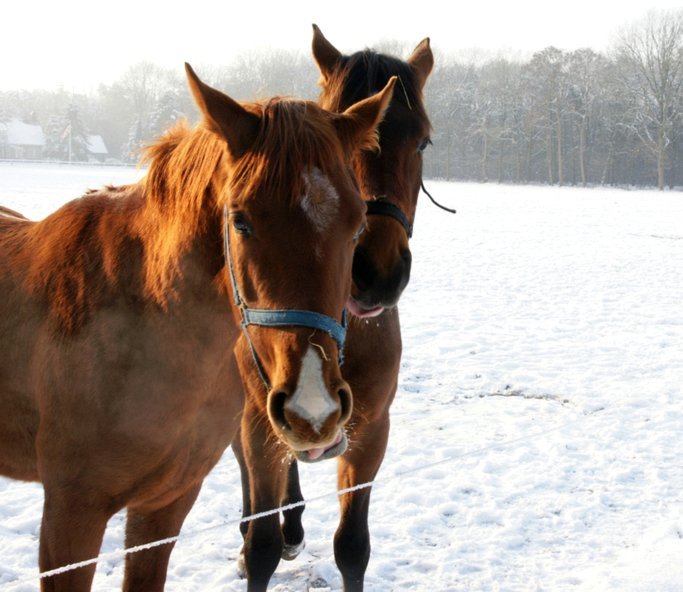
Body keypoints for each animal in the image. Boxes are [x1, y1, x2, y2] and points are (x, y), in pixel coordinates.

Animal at [232, 26, 434, 591]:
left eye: (422, 140)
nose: (376, 270)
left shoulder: (371, 430)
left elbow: (353, 546)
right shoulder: (256, 420)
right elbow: (261, 546)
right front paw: (258, 539)